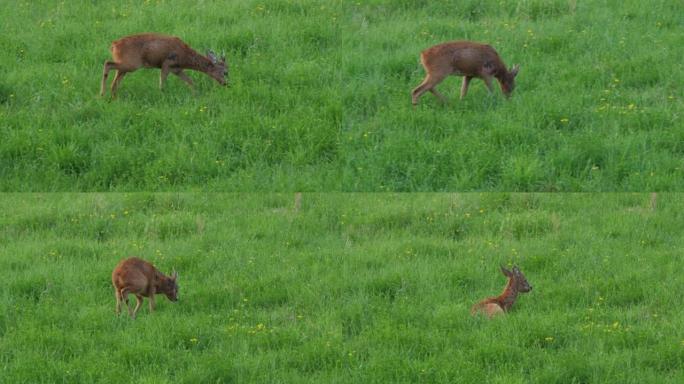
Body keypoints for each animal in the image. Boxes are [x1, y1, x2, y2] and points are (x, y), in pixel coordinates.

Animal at [99, 32, 227, 97]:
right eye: (225, 72)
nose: (226, 84)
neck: (184, 56)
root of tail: (114, 45)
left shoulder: (176, 69)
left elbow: (190, 81)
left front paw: (196, 94)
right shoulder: (166, 63)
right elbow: (162, 83)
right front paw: (162, 95)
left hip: (125, 66)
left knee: (115, 81)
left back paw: (112, 95)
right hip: (131, 64)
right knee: (107, 64)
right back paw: (102, 93)